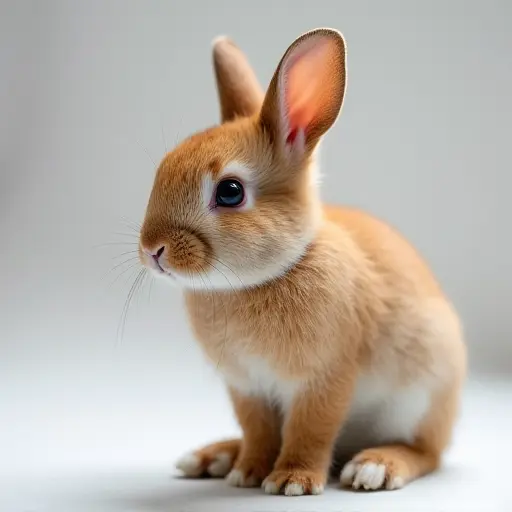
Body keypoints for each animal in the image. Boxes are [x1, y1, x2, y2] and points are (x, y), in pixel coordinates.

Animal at [138, 28, 466, 496]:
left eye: (230, 192)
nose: (153, 249)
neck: (261, 279)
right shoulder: (247, 388)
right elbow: (258, 431)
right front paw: (247, 473)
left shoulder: (324, 379)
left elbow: (310, 429)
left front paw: (290, 481)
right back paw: (213, 456)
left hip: (423, 396)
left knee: (427, 452)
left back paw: (376, 466)